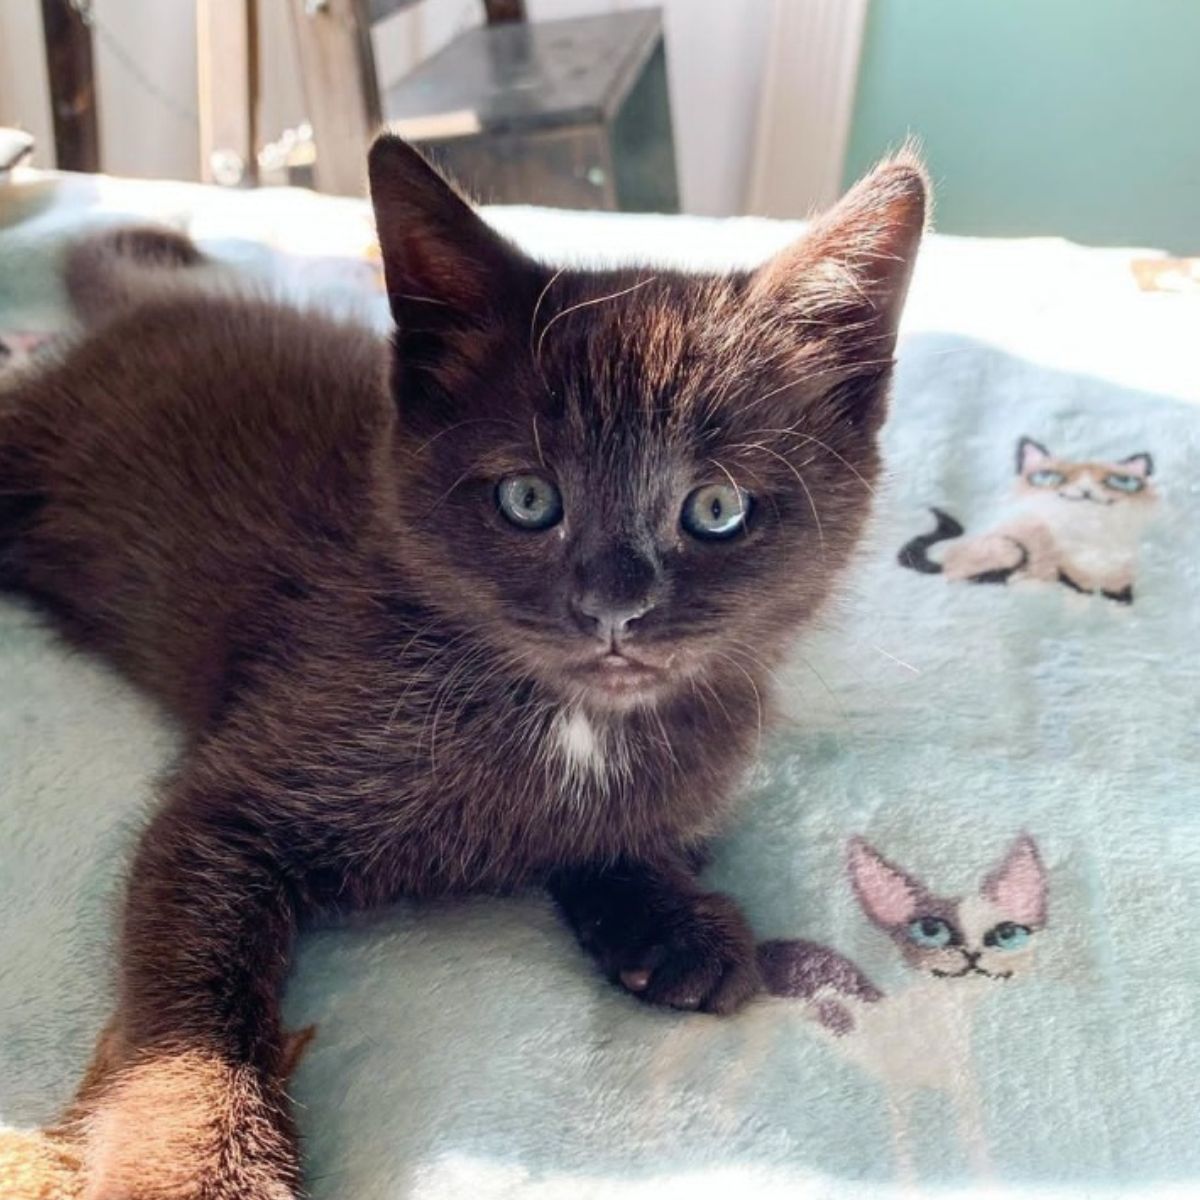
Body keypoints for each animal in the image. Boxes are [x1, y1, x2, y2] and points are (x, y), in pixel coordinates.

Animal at [902, 434, 1156, 600]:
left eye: (1121, 481)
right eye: (1049, 477)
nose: (1085, 489)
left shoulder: (1122, 577)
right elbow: (1076, 586)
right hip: (1008, 546)